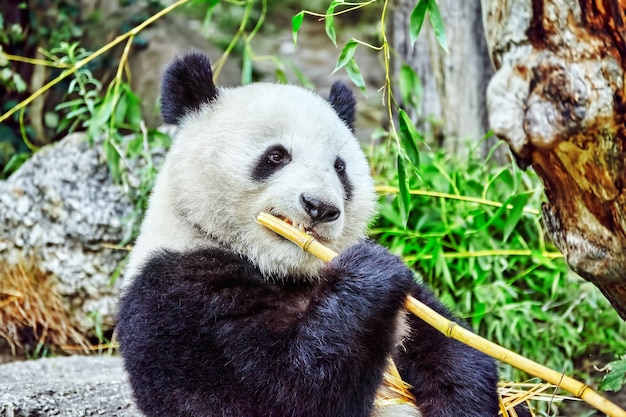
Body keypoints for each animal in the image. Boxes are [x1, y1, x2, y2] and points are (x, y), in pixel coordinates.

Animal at [116, 52, 498, 416]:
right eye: (276, 156)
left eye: (340, 168)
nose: (320, 207)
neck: (284, 270)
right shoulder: (179, 295)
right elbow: (282, 393)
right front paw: (372, 272)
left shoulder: (412, 306)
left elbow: (449, 345)